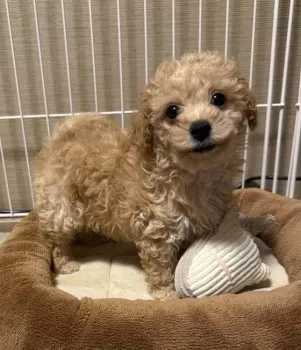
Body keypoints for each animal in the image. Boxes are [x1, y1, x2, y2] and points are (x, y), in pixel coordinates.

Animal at [34, 51, 255, 300]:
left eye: (218, 98)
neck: (194, 173)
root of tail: (62, 133)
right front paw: (166, 294)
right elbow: (160, 266)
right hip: (59, 205)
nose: (200, 128)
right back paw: (66, 264)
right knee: (58, 239)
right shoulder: (156, 230)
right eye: (172, 111)